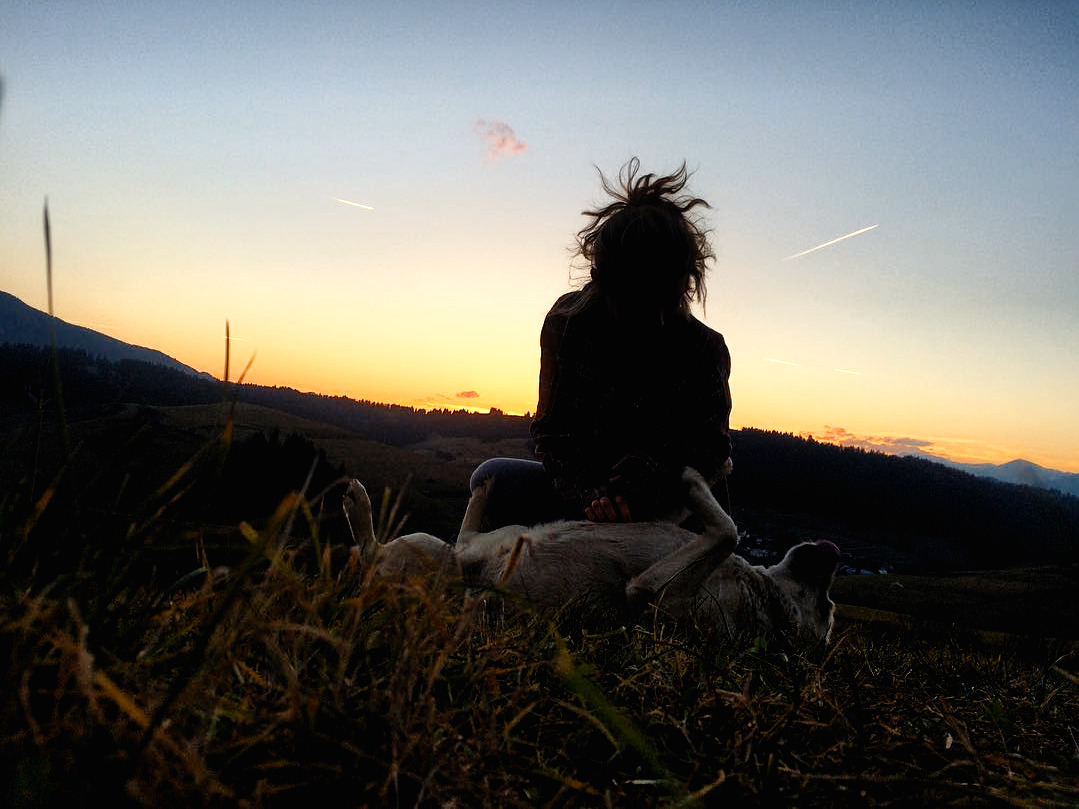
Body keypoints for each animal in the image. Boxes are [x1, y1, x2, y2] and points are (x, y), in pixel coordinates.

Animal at [342, 468, 841, 645]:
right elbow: (727, 531)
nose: (833, 552)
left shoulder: (652, 595)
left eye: (825, 606)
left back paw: (357, 502)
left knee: (369, 549)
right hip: (444, 548)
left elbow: (730, 530)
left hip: (427, 558)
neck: (756, 594)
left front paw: (692, 479)